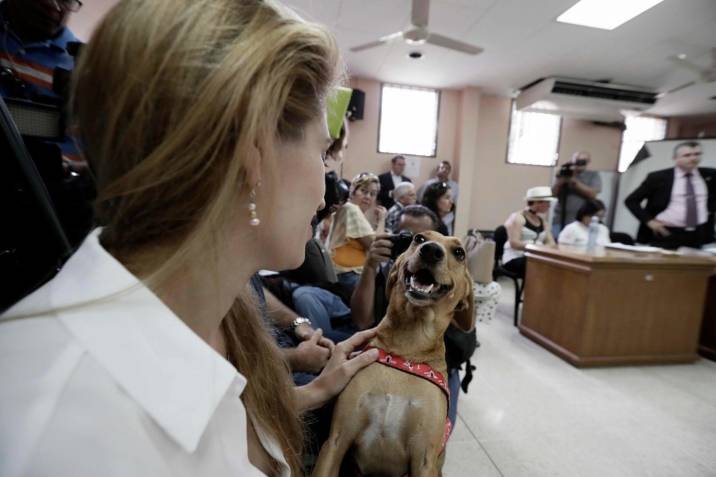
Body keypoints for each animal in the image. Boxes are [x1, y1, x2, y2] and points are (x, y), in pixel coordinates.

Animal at [314, 231, 476, 476]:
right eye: (419, 239)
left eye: (459, 253)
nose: (431, 250)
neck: (408, 347)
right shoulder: (336, 441)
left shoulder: (424, 460)